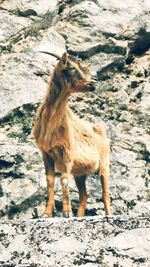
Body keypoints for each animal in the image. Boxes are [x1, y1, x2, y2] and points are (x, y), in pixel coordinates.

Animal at [32, 51, 110, 218]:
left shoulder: (67, 151)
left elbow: (64, 180)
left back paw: (109, 214)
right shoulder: (46, 153)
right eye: (72, 68)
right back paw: (79, 216)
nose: (94, 82)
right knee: (84, 195)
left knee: (105, 192)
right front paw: (46, 213)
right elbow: (50, 181)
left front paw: (67, 212)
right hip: (80, 174)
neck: (51, 126)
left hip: (104, 164)